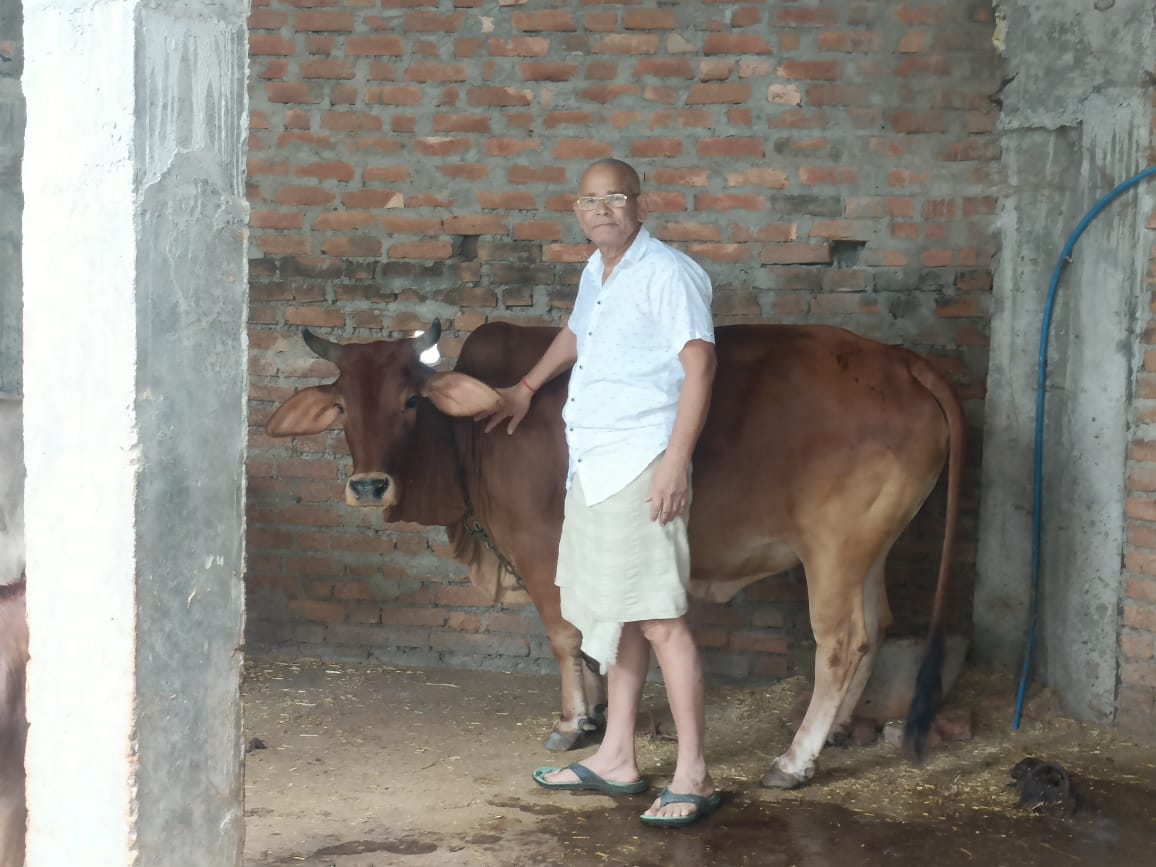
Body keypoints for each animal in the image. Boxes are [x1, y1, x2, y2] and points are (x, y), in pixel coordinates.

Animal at [265, 323, 961, 790]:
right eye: (343, 405)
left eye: (411, 400)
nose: (368, 486)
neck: (472, 444)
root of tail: (901, 360)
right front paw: (598, 712)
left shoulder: (541, 552)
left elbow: (565, 637)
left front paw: (573, 722)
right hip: (869, 548)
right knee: (877, 628)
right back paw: (838, 732)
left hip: (833, 549)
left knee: (840, 643)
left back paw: (795, 760)